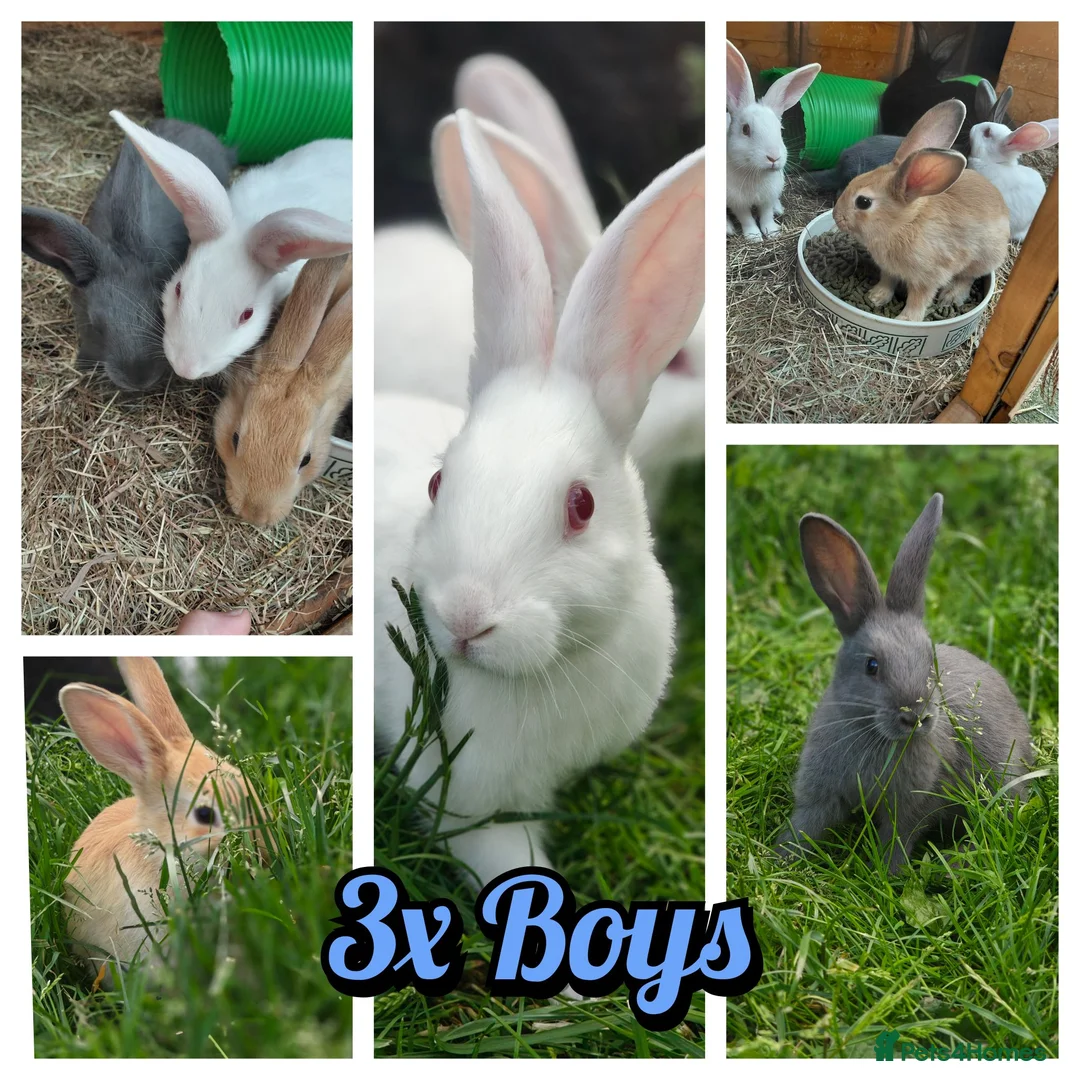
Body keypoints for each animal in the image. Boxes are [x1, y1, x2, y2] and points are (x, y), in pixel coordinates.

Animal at [726, 39, 820, 241]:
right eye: (745, 129)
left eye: (781, 129)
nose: (773, 158)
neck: (756, 174)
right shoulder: (737, 201)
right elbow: (746, 218)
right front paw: (754, 237)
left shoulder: (768, 197)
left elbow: (766, 214)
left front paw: (773, 232)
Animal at [777, 494, 1034, 875]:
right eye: (872, 666)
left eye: (931, 661)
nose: (916, 717)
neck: (872, 733)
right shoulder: (820, 794)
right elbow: (806, 825)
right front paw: (777, 857)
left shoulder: (911, 806)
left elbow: (898, 837)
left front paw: (889, 874)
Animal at [833, 99, 1009, 322]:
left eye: (863, 202)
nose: (836, 215)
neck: (903, 224)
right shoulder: (889, 269)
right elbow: (887, 281)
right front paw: (876, 297)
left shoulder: (927, 277)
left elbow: (918, 299)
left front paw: (905, 320)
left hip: (981, 258)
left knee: (967, 277)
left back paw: (950, 297)